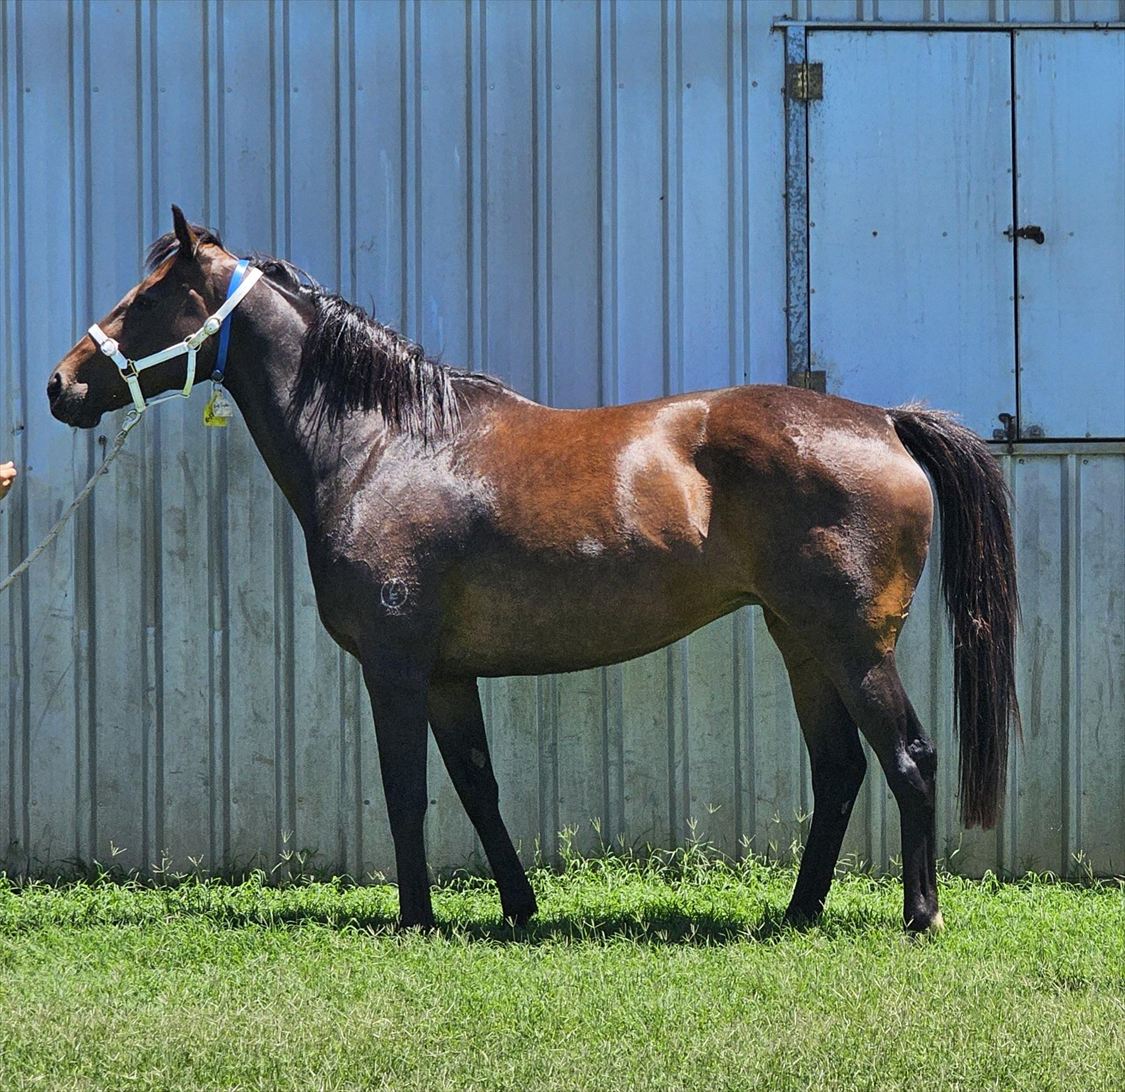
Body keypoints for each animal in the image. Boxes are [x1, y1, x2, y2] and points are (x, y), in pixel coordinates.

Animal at [46, 206, 1019, 933]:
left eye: (150, 298)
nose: (61, 386)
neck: (384, 446)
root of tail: (883, 421)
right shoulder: (446, 674)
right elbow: (476, 785)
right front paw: (517, 907)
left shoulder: (395, 666)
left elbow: (406, 791)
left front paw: (416, 919)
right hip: (799, 640)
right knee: (839, 769)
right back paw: (797, 913)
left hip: (852, 644)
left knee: (908, 758)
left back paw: (919, 915)